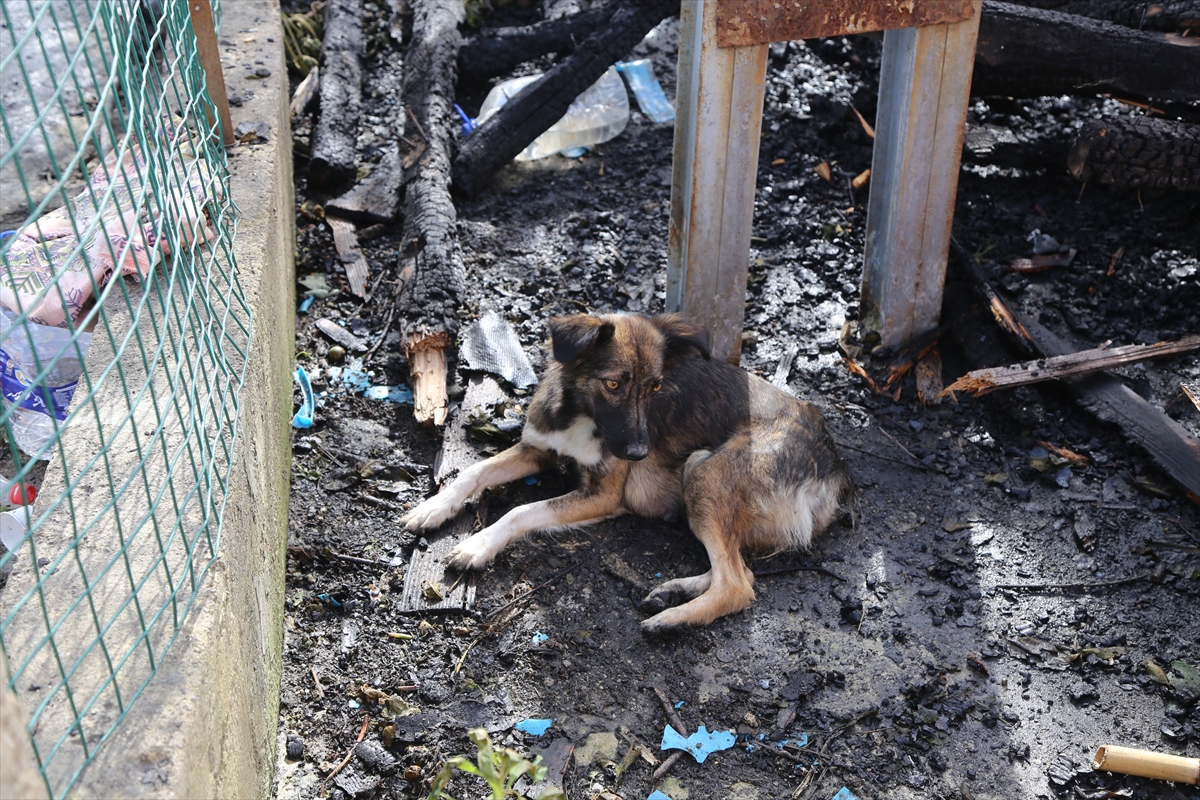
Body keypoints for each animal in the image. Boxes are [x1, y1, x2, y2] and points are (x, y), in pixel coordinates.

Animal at [403, 311, 854, 633]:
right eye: (614, 384)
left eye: (656, 387)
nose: (639, 452)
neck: (581, 414)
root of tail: (833, 469)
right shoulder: (537, 450)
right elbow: (473, 471)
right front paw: (434, 507)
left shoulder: (603, 494)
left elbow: (520, 511)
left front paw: (478, 545)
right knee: (741, 569)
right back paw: (674, 591)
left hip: (704, 472)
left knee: (738, 585)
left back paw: (672, 620)